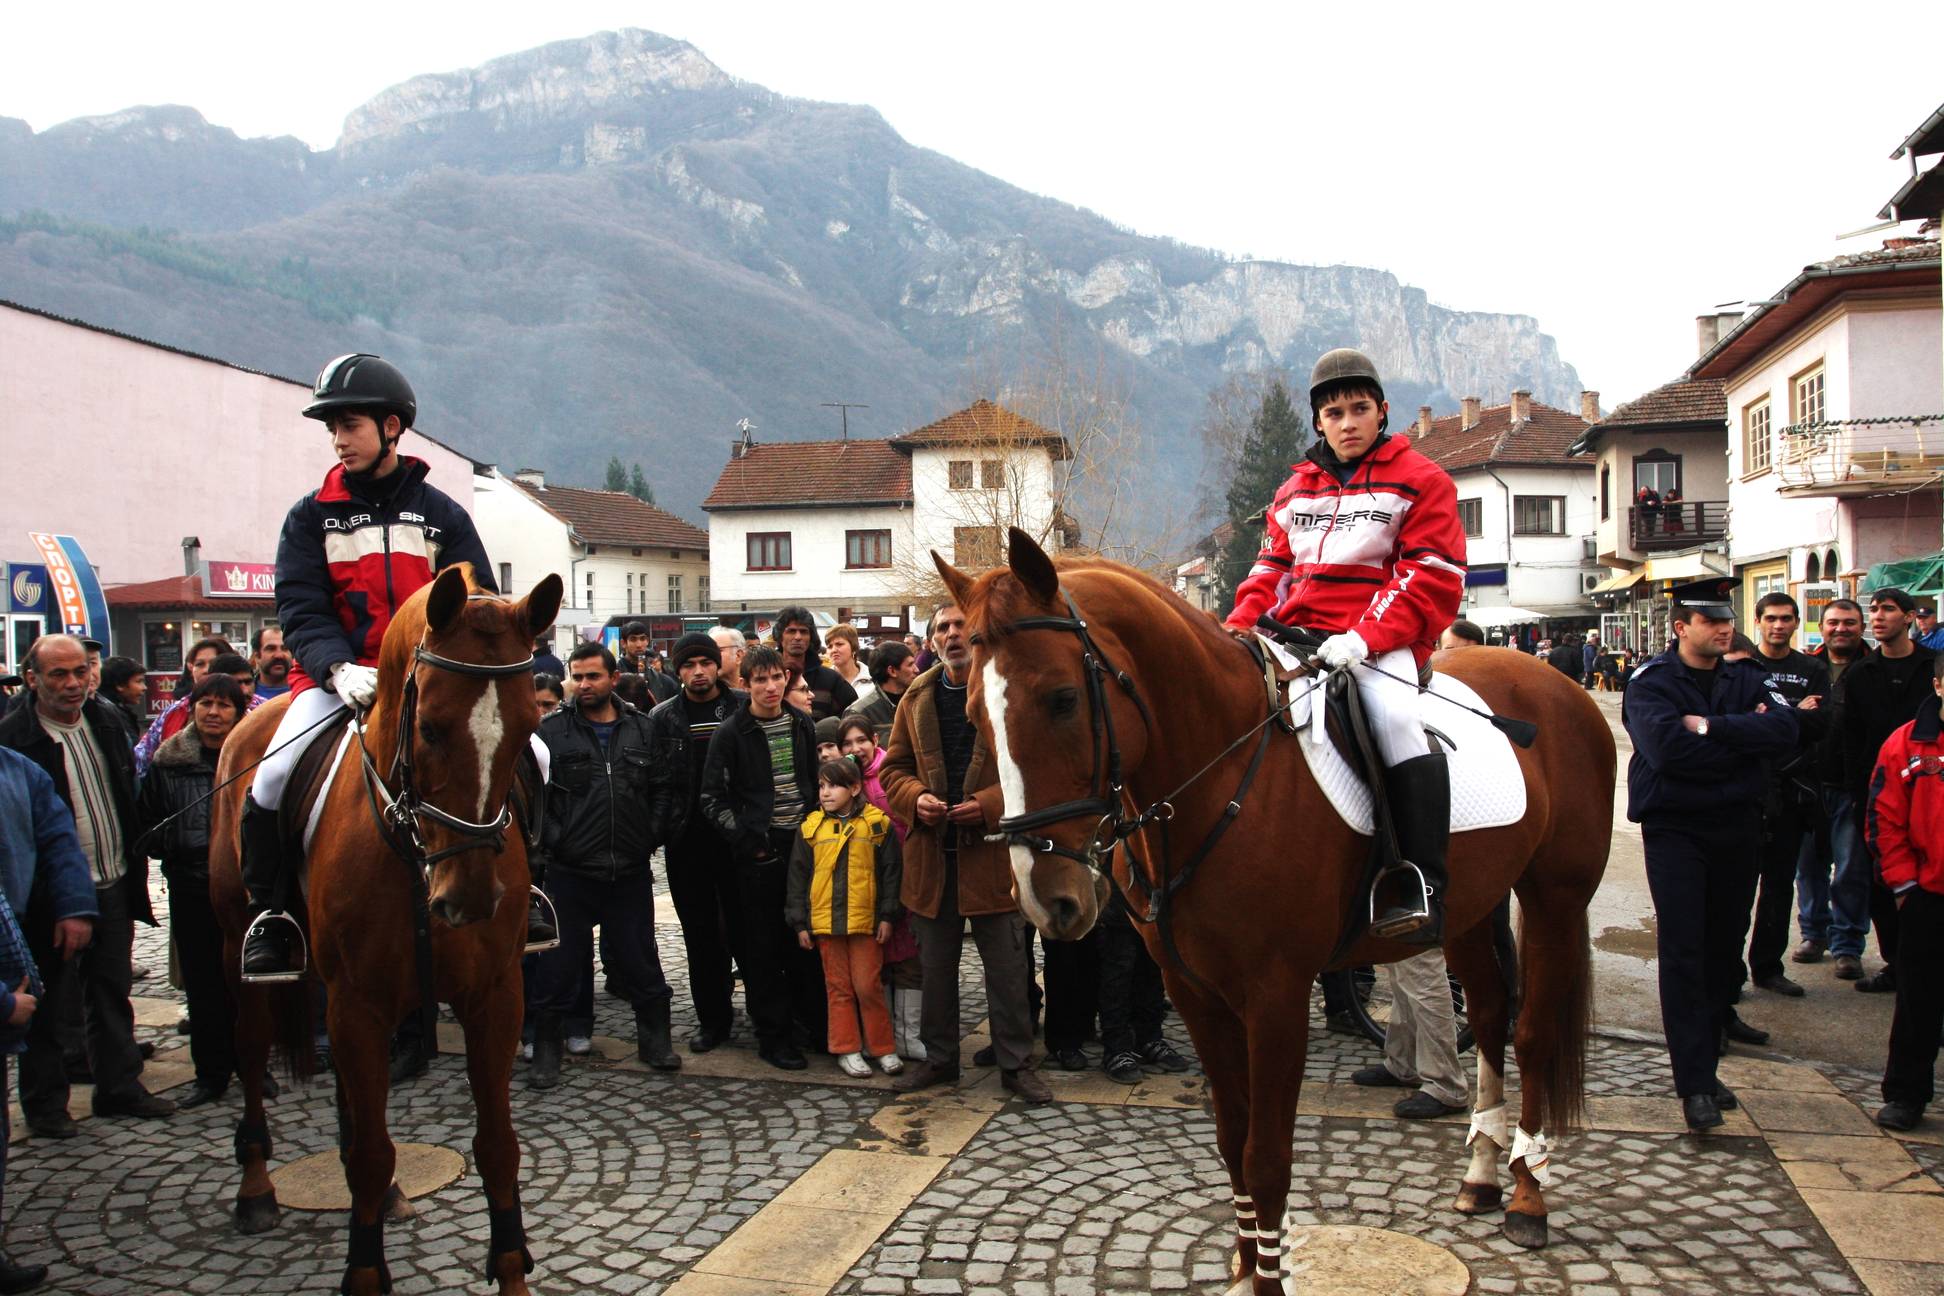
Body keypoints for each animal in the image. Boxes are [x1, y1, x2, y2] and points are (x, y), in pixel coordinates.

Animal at [210, 567, 563, 1296]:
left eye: (527, 729)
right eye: (429, 727)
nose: (470, 898)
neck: (411, 846)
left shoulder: (494, 996)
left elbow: (498, 1147)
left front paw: (511, 1269)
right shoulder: (359, 1004)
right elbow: (374, 1152)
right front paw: (366, 1269)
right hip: (242, 953)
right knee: (251, 1053)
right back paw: (256, 1189)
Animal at [940, 528, 1609, 1296]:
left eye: (1060, 700)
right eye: (973, 715)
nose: (1049, 900)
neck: (1221, 779)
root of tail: (1555, 684)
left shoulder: (1276, 998)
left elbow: (1266, 1157)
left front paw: (1264, 1273)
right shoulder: (1195, 993)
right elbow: (1233, 1142)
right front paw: (1243, 1263)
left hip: (1555, 899)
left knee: (1532, 1033)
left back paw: (1528, 1195)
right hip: (1469, 909)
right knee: (1494, 1016)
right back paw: (1480, 1177)